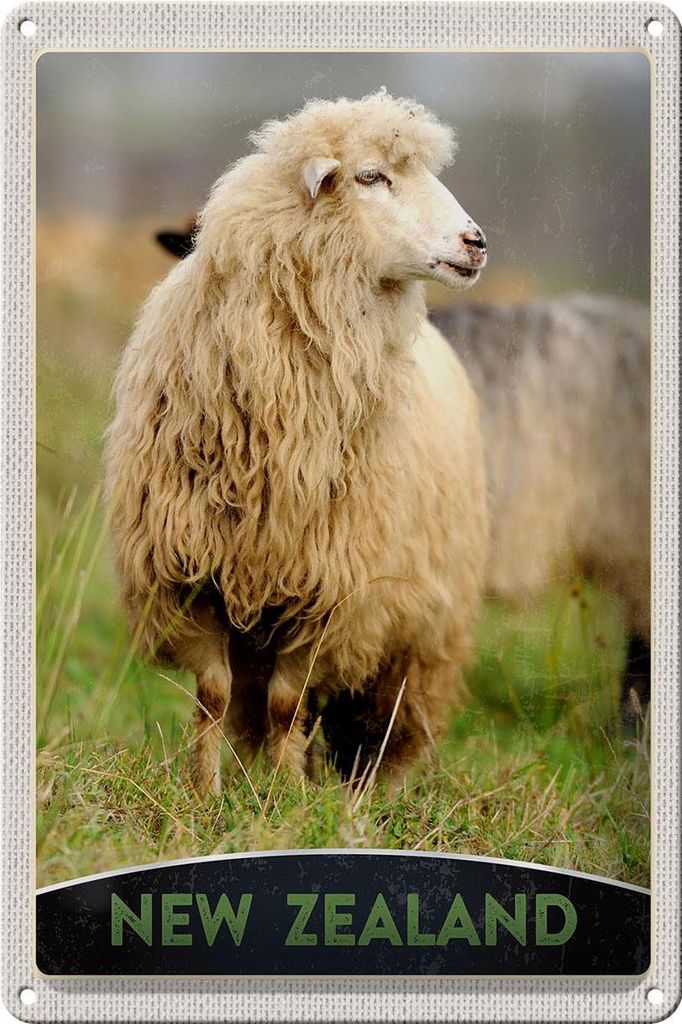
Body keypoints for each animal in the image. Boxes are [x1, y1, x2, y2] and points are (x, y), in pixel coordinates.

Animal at [105, 91, 489, 795]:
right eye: (370, 176)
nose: (476, 243)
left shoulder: (329, 591)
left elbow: (289, 705)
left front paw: (283, 801)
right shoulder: (192, 574)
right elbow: (214, 697)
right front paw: (205, 795)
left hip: (423, 628)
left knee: (392, 719)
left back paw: (371, 792)